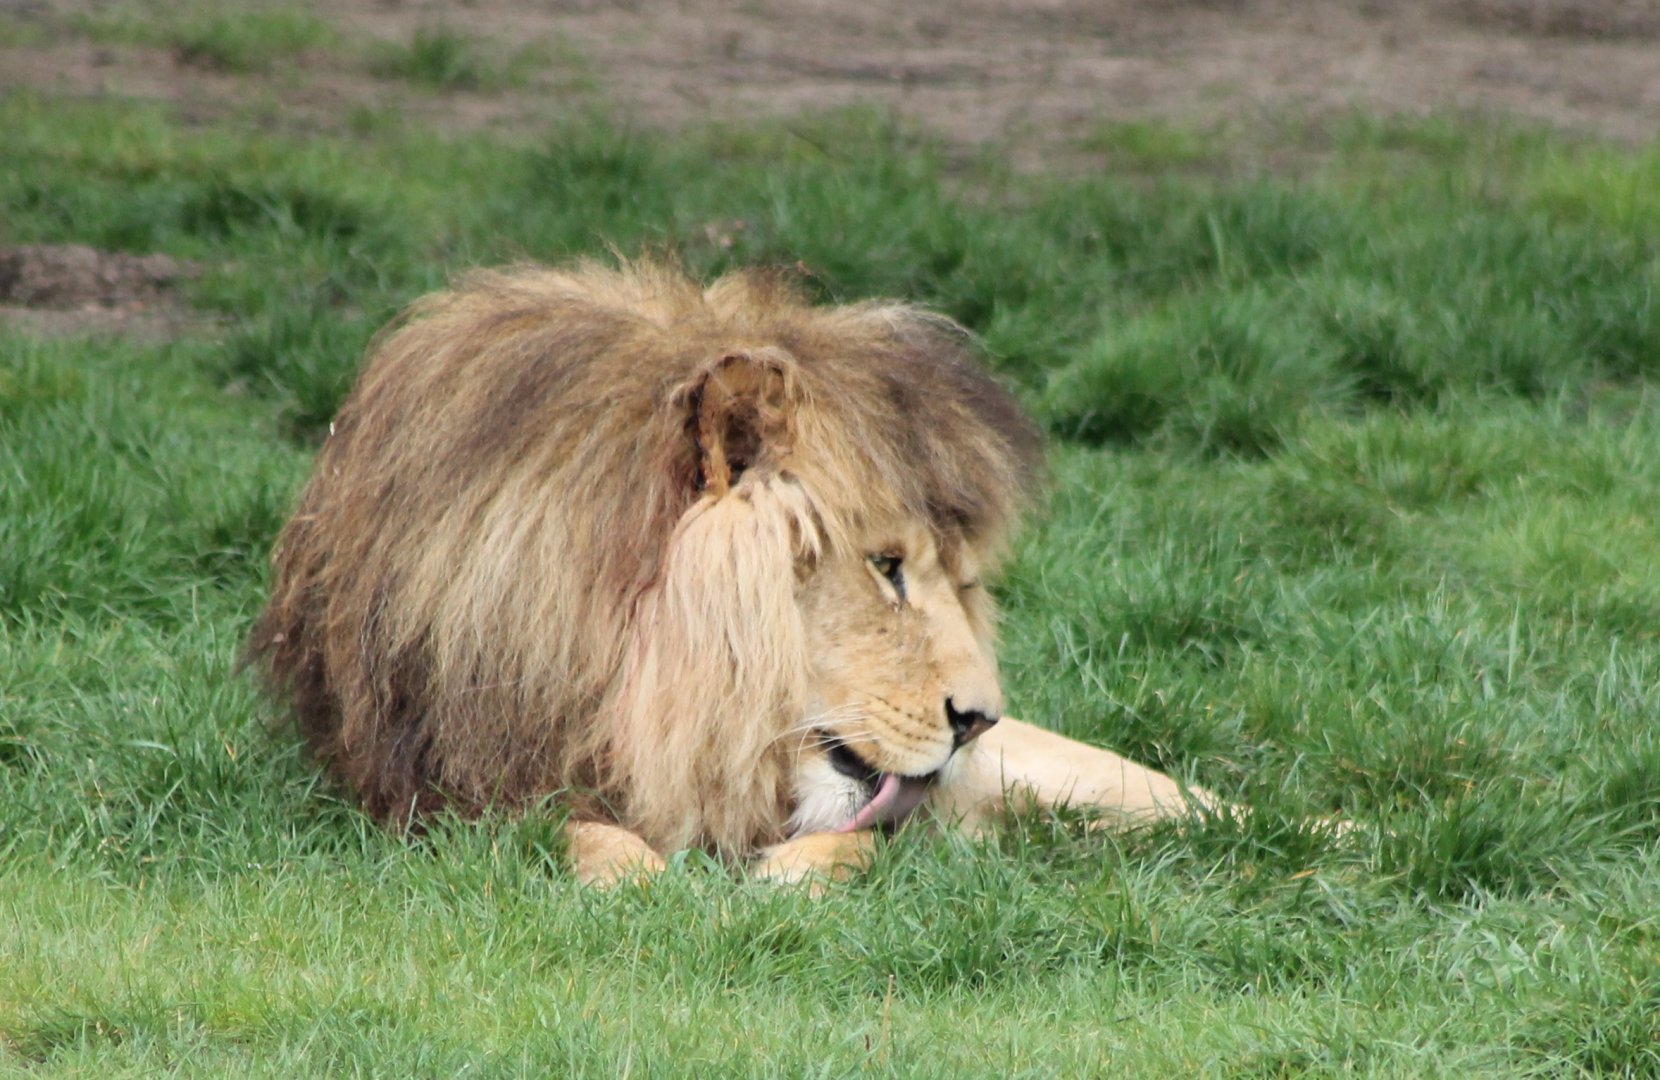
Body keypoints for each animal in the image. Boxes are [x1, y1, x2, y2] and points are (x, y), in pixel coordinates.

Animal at [248, 259, 1221, 886]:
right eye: (886, 567)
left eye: (962, 581)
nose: (979, 720)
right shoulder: (437, 791)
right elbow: (577, 838)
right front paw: (638, 881)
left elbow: (863, 842)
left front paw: (793, 874)